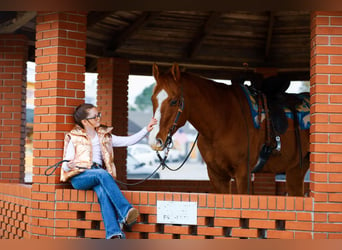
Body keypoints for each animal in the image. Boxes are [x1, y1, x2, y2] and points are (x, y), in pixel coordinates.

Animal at [148, 63, 310, 196]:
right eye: (152, 99)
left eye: (174, 101)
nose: (155, 140)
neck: (222, 121)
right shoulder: (217, 176)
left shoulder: (243, 173)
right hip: (296, 169)